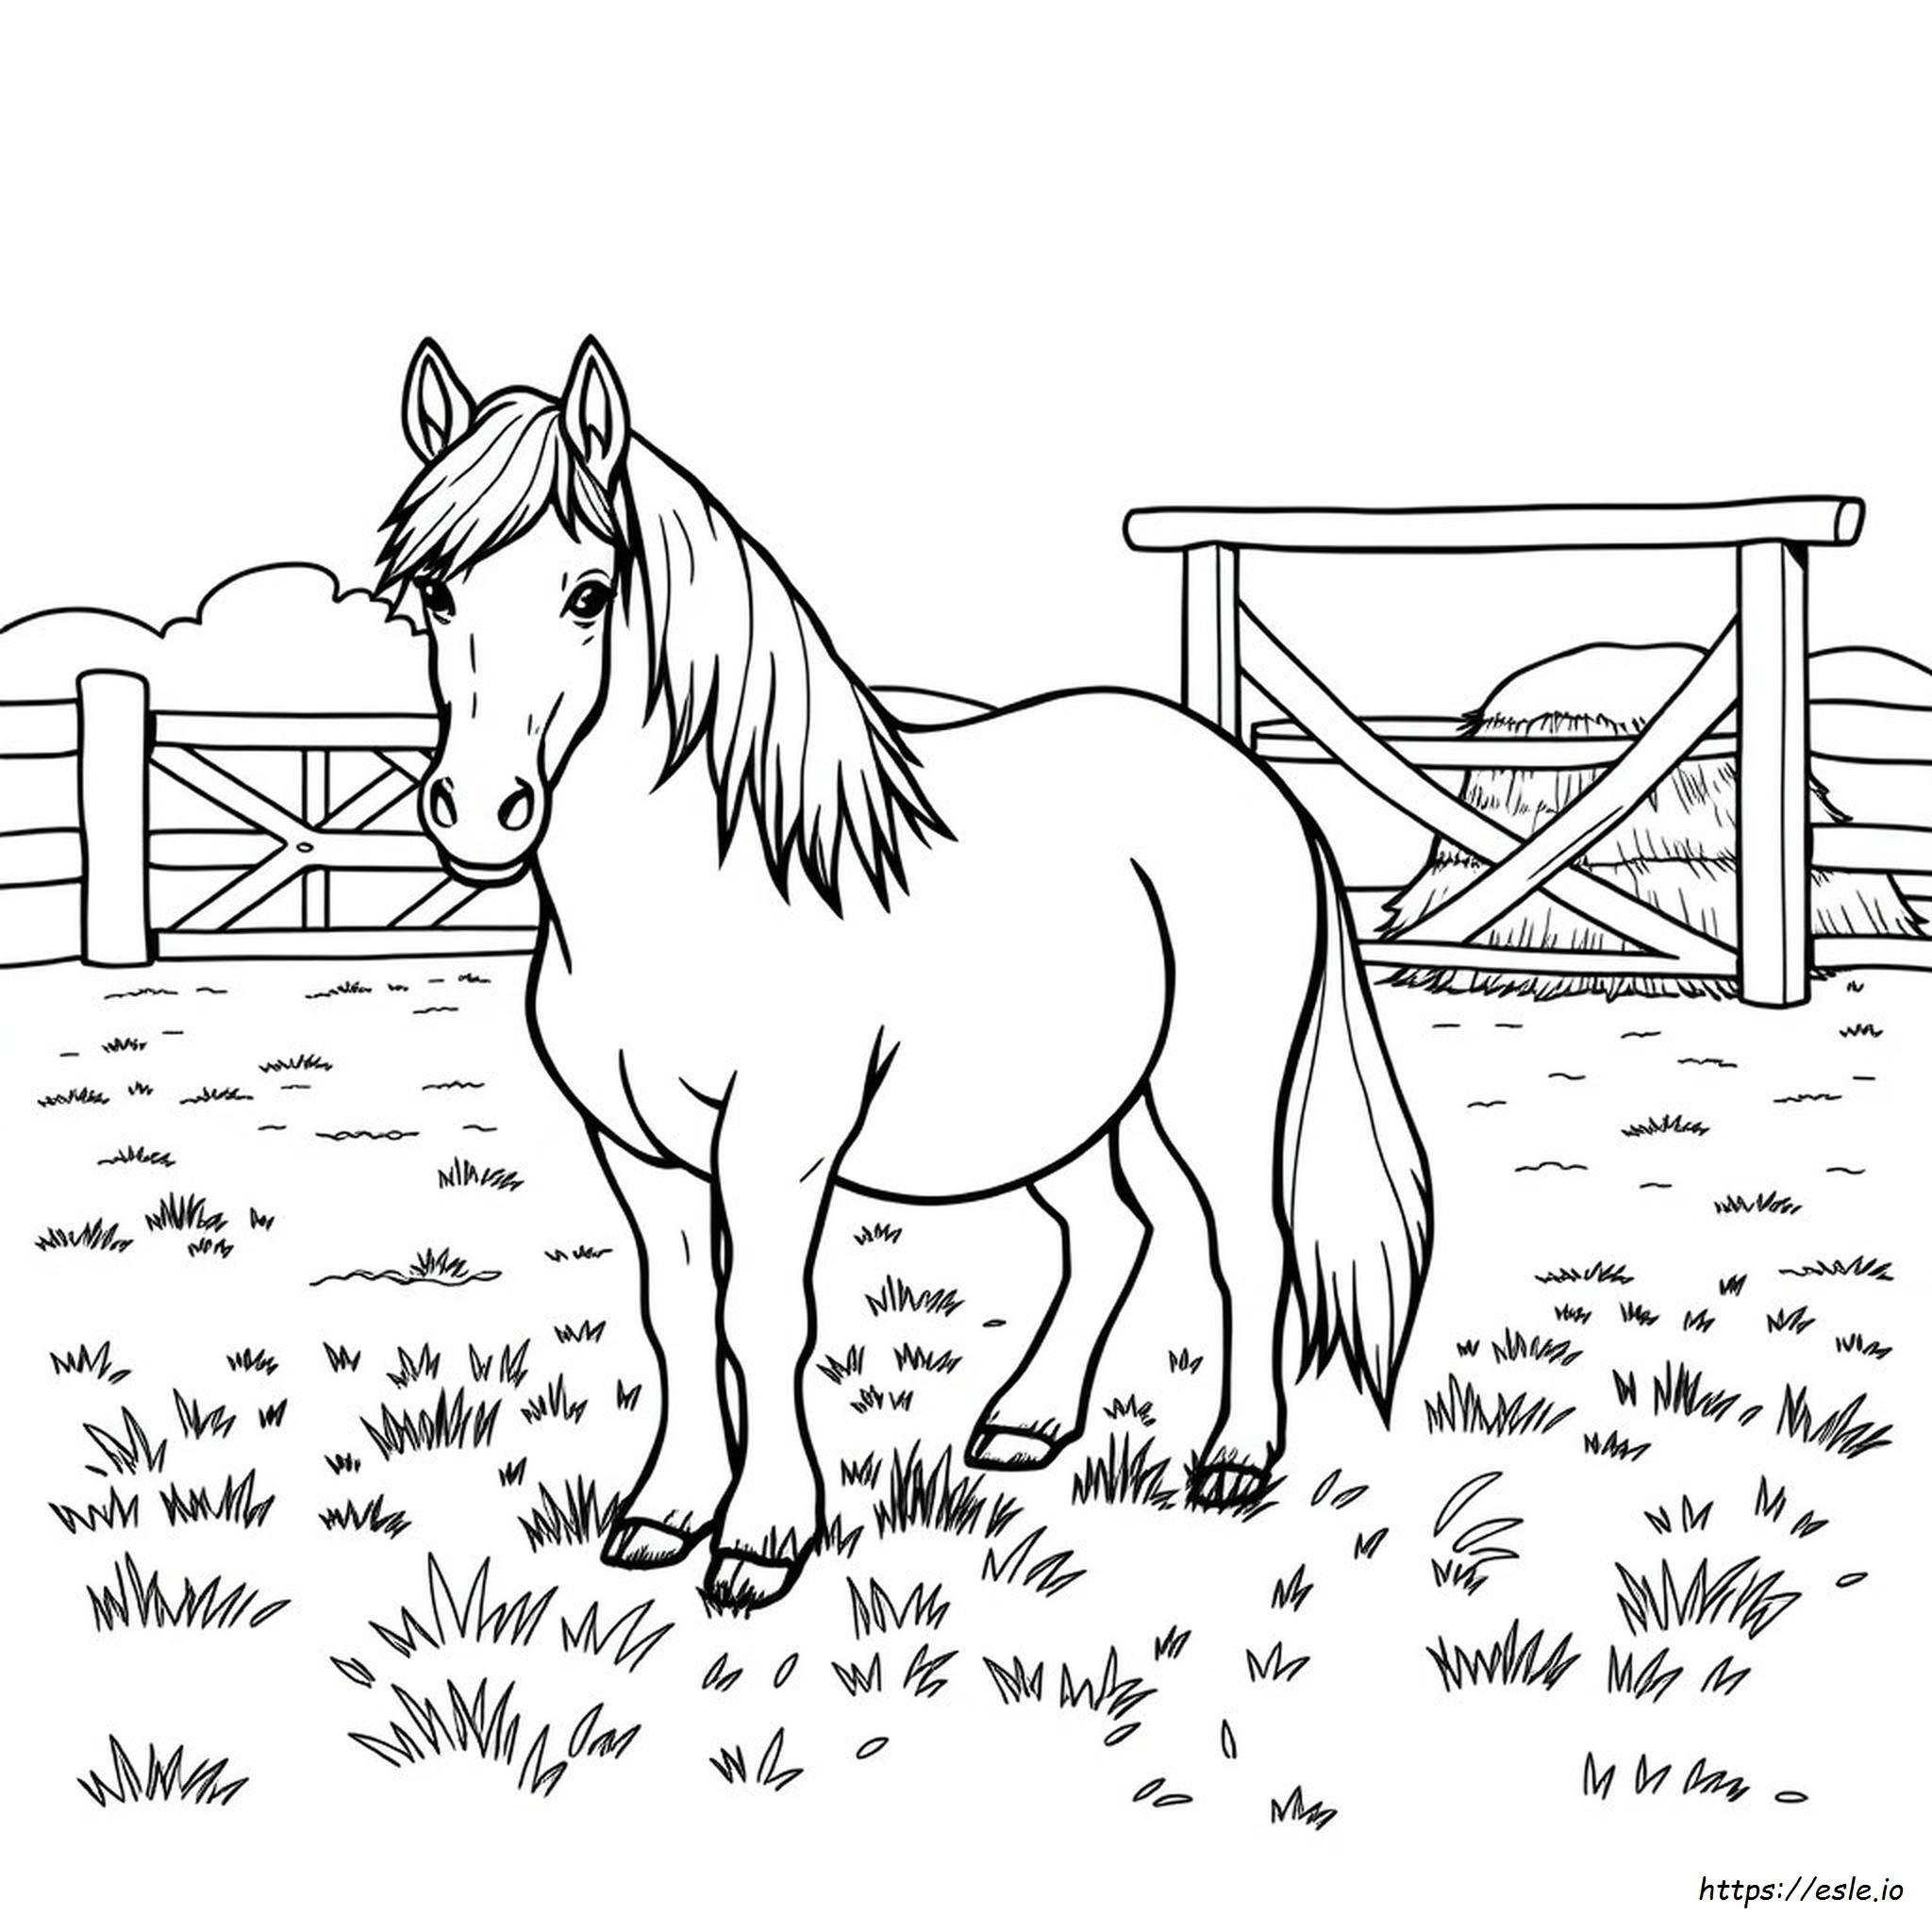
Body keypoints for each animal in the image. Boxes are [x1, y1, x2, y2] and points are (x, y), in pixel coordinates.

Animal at [376, 336, 1433, 1608]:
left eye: (588, 593)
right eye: (435, 597)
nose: (479, 812)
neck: (701, 882)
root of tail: (1251, 777)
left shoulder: (776, 1137)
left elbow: (762, 1317)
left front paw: (760, 1540)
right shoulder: (635, 1148)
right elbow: (675, 1315)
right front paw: (662, 1513)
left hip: (1210, 1086)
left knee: (1246, 1242)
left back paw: (1232, 1458)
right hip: (1064, 1104)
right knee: (1110, 1232)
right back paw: (1025, 1424)